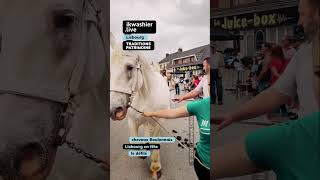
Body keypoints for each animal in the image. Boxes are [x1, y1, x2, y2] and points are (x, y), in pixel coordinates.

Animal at [110, 33, 170, 179]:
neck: (146, 95)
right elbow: (135, 142)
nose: (114, 110)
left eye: (130, 67)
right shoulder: (132, 121)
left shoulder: (159, 121)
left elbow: (155, 143)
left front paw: (156, 168)